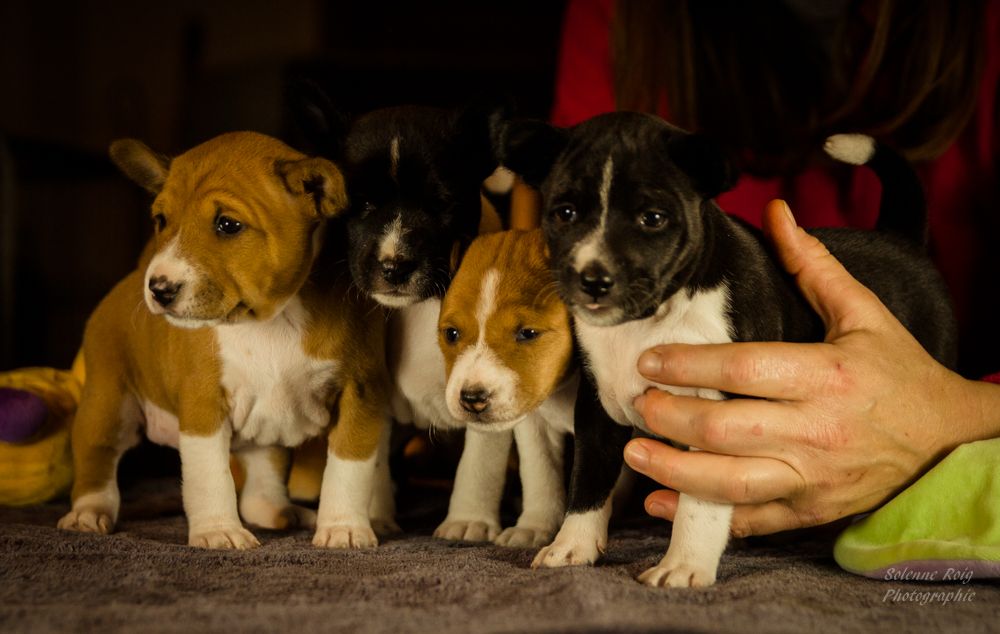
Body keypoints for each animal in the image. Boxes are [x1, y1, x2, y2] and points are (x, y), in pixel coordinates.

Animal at [53, 131, 390, 544]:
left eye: (228, 225)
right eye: (161, 220)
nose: (159, 287)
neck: (272, 321)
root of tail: (128, 280)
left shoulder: (361, 395)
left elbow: (349, 469)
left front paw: (343, 527)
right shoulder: (203, 405)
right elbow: (210, 478)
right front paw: (218, 532)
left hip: (264, 434)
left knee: (260, 489)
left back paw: (285, 514)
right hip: (107, 404)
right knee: (97, 463)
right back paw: (88, 513)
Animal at [438, 230, 580, 544]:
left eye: (528, 333)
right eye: (451, 333)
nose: (473, 398)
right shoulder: (535, 424)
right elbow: (540, 473)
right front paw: (535, 527)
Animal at [504, 112, 956, 588]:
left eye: (653, 218)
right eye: (565, 214)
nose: (593, 279)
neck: (651, 321)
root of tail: (902, 240)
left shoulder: (718, 417)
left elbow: (699, 499)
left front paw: (684, 564)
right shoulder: (598, 405)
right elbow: (588, 479)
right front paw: (571, 545)